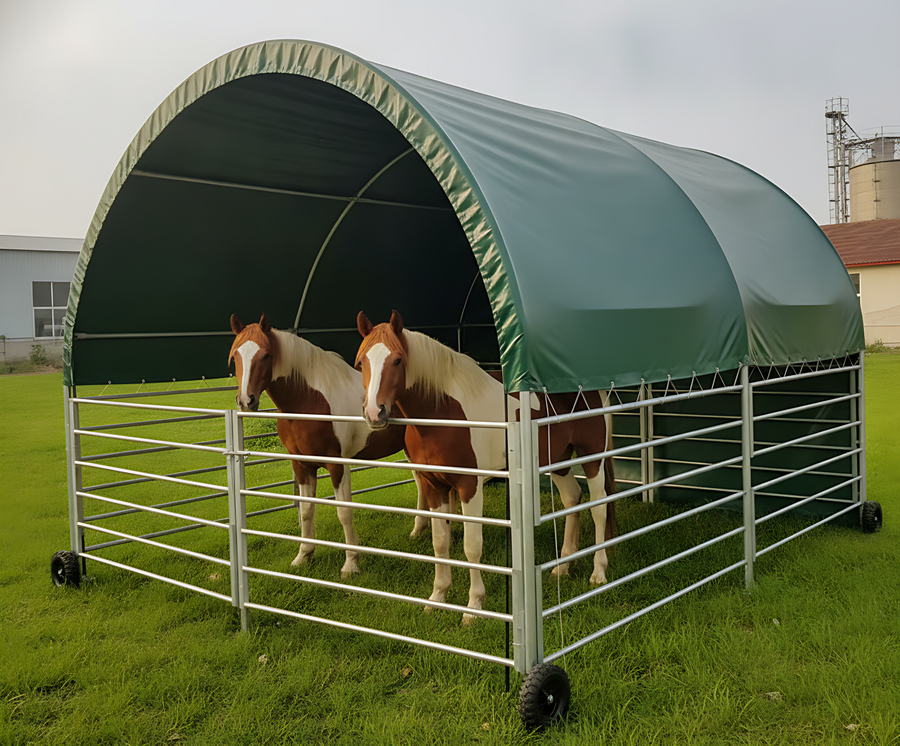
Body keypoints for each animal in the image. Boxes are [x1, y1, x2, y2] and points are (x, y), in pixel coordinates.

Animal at [229, 313, 427, 576]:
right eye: (236, 355)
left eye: (266, 355)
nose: (245, 400)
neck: (308, 401)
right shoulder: (302, 465)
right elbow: (305, 511)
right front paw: (303, 555)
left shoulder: (337, 465)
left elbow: (344, 511)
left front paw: (351, 563)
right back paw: (418, 530)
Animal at [355, 310, 616, 624]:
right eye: (361, 362)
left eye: (397, 360)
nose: (374, 412)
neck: (443, 413)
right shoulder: (434, 485)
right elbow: (440, 542)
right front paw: (438, 597)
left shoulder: (469, 486)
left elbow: (471, 546)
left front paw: (473, 607)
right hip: (559, 459)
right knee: (572, 499)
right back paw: (562, 567)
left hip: (592, 457)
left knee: (599, 507)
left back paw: (598, 572)